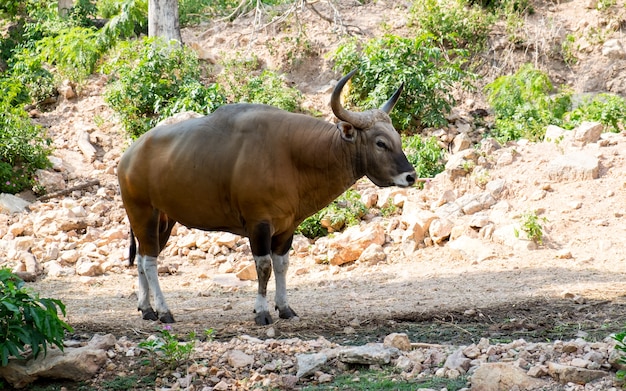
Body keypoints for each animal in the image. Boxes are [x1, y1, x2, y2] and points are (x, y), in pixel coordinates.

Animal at [119, 69, 416, 324]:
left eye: (398, 139)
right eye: (380, 143)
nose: (410, 176)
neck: (293, 157)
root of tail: (129, 155)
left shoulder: (287, 227)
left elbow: (282, 265)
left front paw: (284, 307)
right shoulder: (258, 224)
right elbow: (263, 267)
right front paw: (261, 312)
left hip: (164, 220)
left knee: (144, 259)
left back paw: (147, 309)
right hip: (142, 213)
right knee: (150, 261)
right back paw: (164, 311)